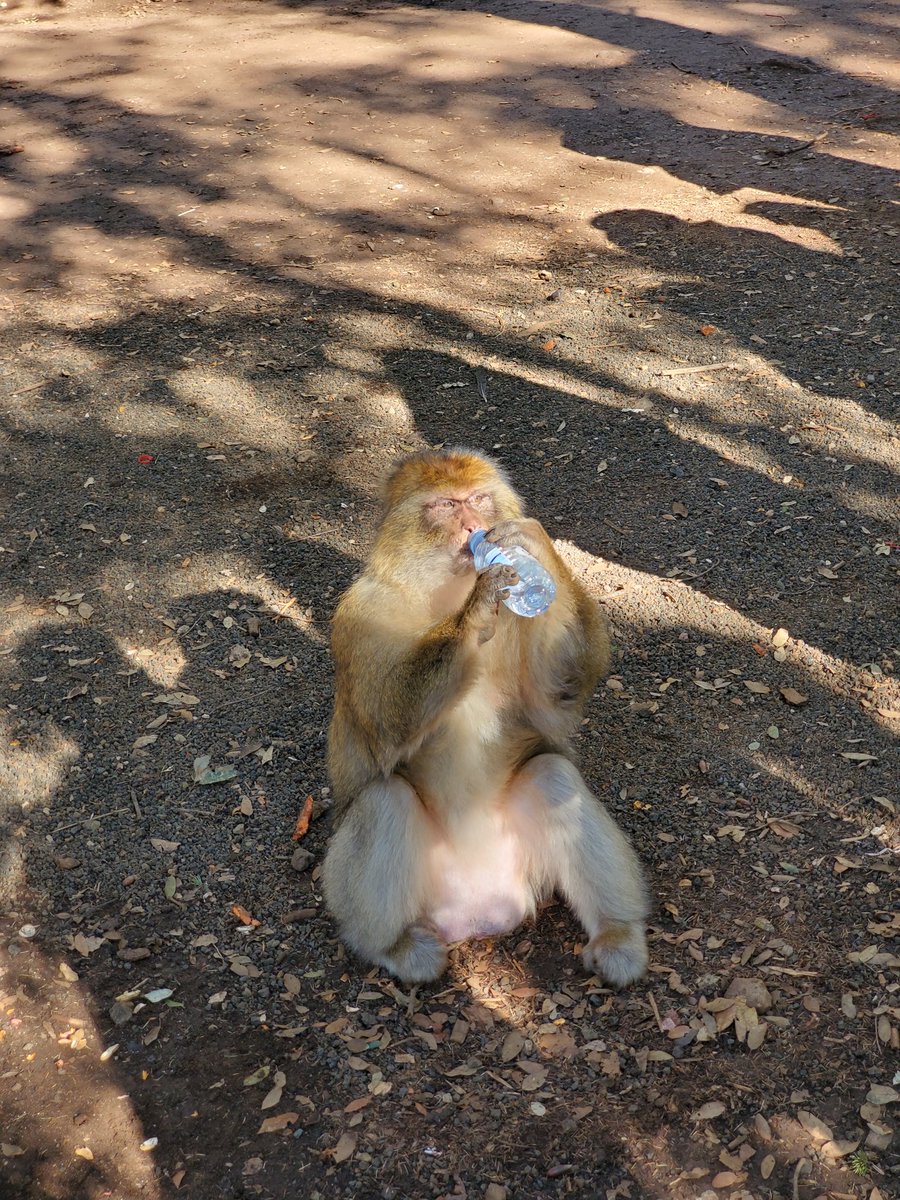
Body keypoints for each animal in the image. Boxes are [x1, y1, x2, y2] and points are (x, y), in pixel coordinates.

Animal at [321, 448, 648, 986]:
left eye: (478, 499)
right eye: (446, 505)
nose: (475, 526)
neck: (448, 590)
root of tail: (477, 916)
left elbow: (556, 696)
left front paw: (536, 549)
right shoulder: (360, 614)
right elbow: (388, 720)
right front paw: (478, 607)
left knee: (552, 775)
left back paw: (618, 935)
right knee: (385, 799)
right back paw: (395, 948)